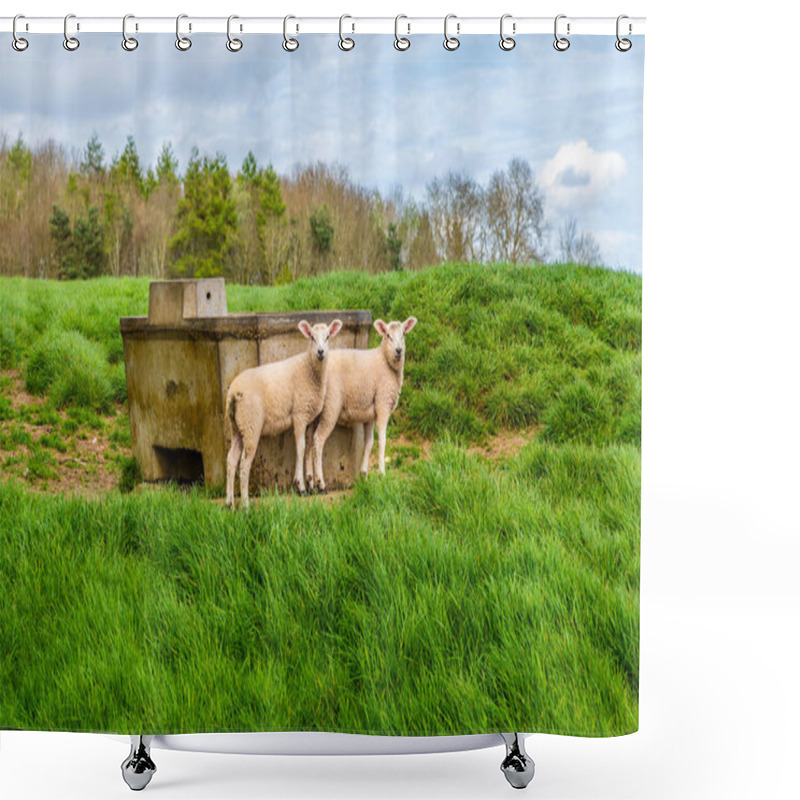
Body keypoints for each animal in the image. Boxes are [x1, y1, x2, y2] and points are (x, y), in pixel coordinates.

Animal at [223, 318, 342, 510]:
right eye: (312, 338)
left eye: (328, 337)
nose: (320, 352)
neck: (309, 368)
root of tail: (233, 393)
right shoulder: (299, 414)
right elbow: (301, 448)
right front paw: (301, 486)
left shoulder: (309, 417)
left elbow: (309, 447)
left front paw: (311, 484)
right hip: (251, 425)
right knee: (244, 465)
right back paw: (246, 504)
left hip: (237, 427)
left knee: (231, 461)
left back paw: (229, 503)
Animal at [306, 314, 418, 490]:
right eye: (388, 335)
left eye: (403, 334)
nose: (399, 351)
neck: (385, 361)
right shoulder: (383, 402)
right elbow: (382, 440)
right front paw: (382, 473)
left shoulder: (370, 412)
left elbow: (370, 442)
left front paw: (364, 473)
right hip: (331, 406)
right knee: (318, 440)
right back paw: (320, 482)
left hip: (314, 409)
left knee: (309, 440)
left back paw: (308, 482)